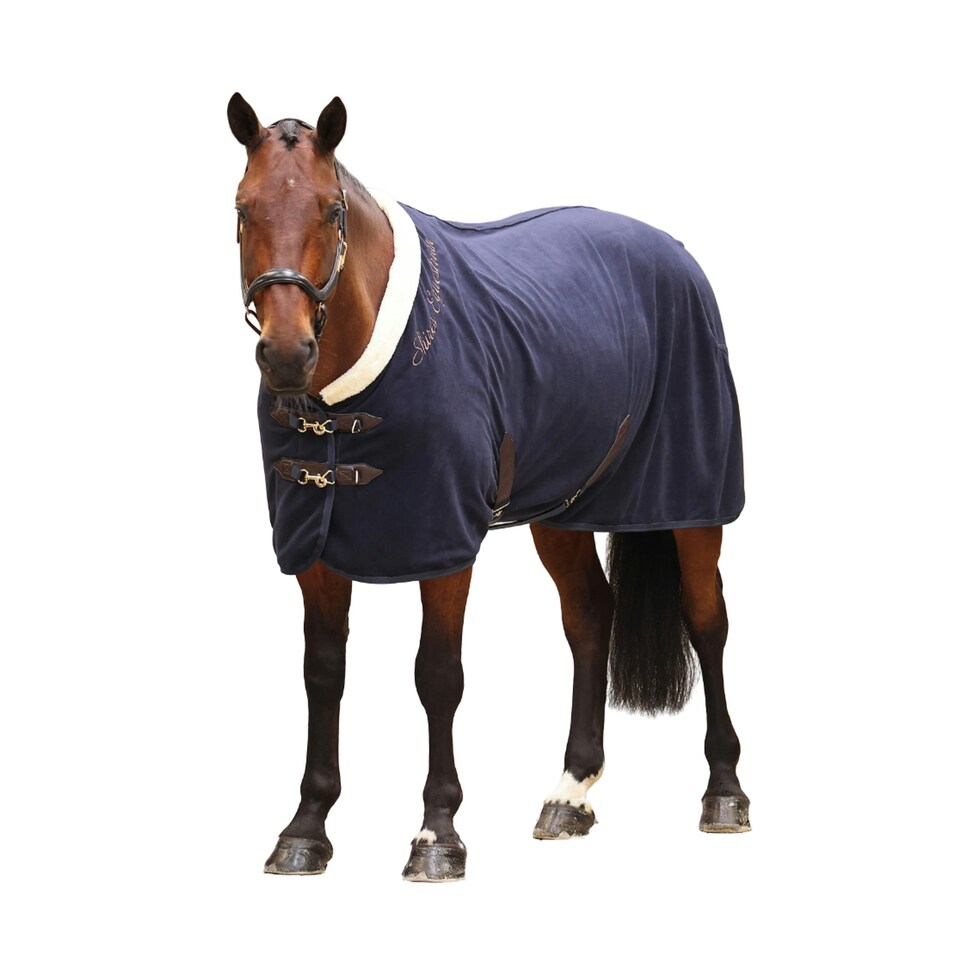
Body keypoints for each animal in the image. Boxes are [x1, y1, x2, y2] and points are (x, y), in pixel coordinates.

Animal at [227, 92, 750, 882]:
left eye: (330, 210)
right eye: (244, 208)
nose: (287, 355)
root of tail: (673, 252)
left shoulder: (443, 542)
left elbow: (438, 675)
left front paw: (437, 834)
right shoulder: (313, 548)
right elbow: (324, 672)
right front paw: (306, 827)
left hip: (692, 498)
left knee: (706, 619)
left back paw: (723, 792)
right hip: (562, 509)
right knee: (590, 616)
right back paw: (571, 793)